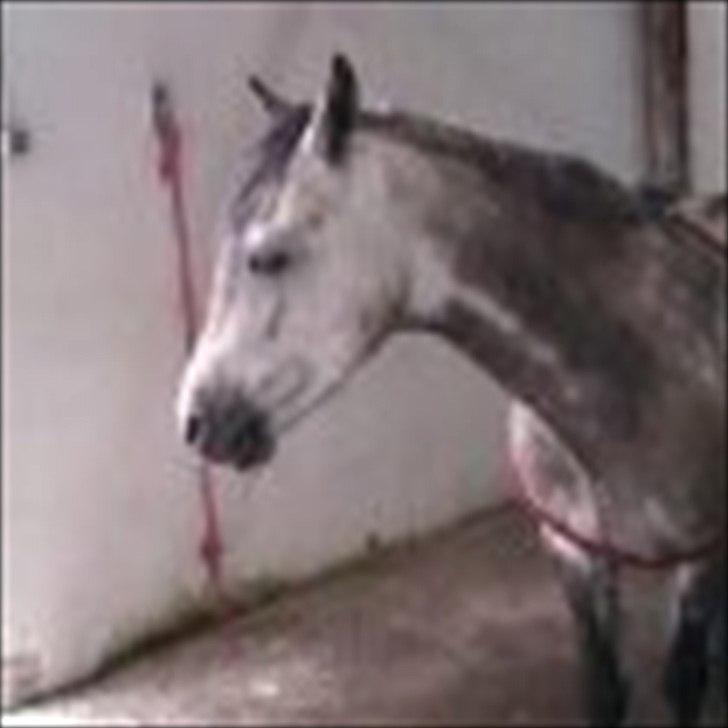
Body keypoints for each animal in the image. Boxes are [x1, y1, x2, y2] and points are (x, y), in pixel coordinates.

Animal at [176, 55, 726, 726]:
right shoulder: (574, 553)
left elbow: (685, 681)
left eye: (270, 256)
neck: (635, 366)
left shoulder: (700, 556)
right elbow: (603, 691)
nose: (198, 422)